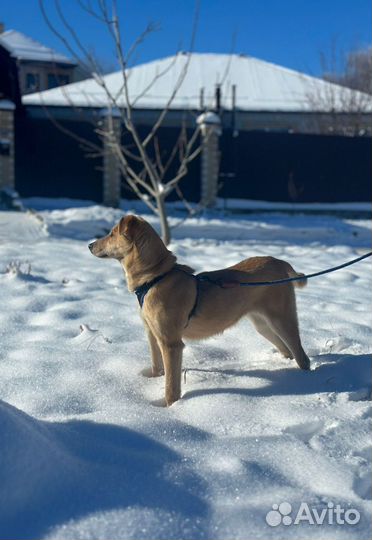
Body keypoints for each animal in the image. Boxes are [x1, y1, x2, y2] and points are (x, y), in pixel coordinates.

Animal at [88, 215, 310, 404]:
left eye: (112, 233)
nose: (89, 245)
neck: (156, 277)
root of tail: (279, 262)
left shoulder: (171, 344)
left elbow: (171, 385)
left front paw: (171, 407)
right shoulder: (152, 333)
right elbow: (156, 365)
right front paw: (153, 379)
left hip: (282, 320)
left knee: (301, 356)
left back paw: (304, 381)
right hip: (263, 325)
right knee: (286, 350)